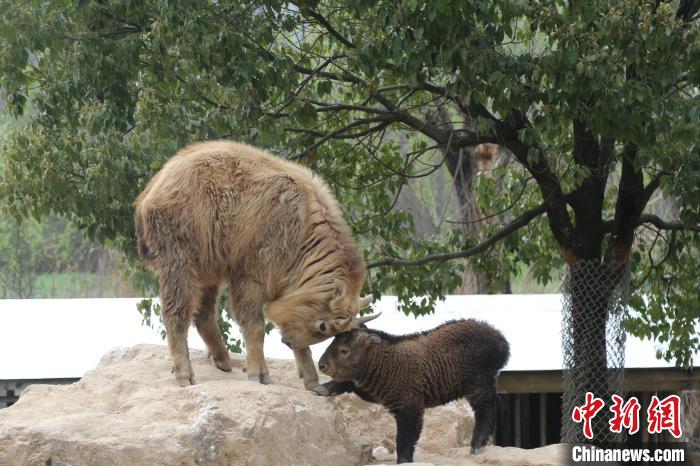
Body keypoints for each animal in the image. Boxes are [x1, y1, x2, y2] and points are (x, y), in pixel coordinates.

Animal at [318, 318, 508, 464]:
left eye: (344, 350)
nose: (321, 365)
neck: (384, 363)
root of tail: (501, 340)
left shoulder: (409, 408)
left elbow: (404, 442)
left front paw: (404, 461)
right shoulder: (371, 390)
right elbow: (347, 382)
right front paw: (323, 388)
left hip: (478, 385)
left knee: (487, 409)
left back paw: (477, 444)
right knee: (496, 403)